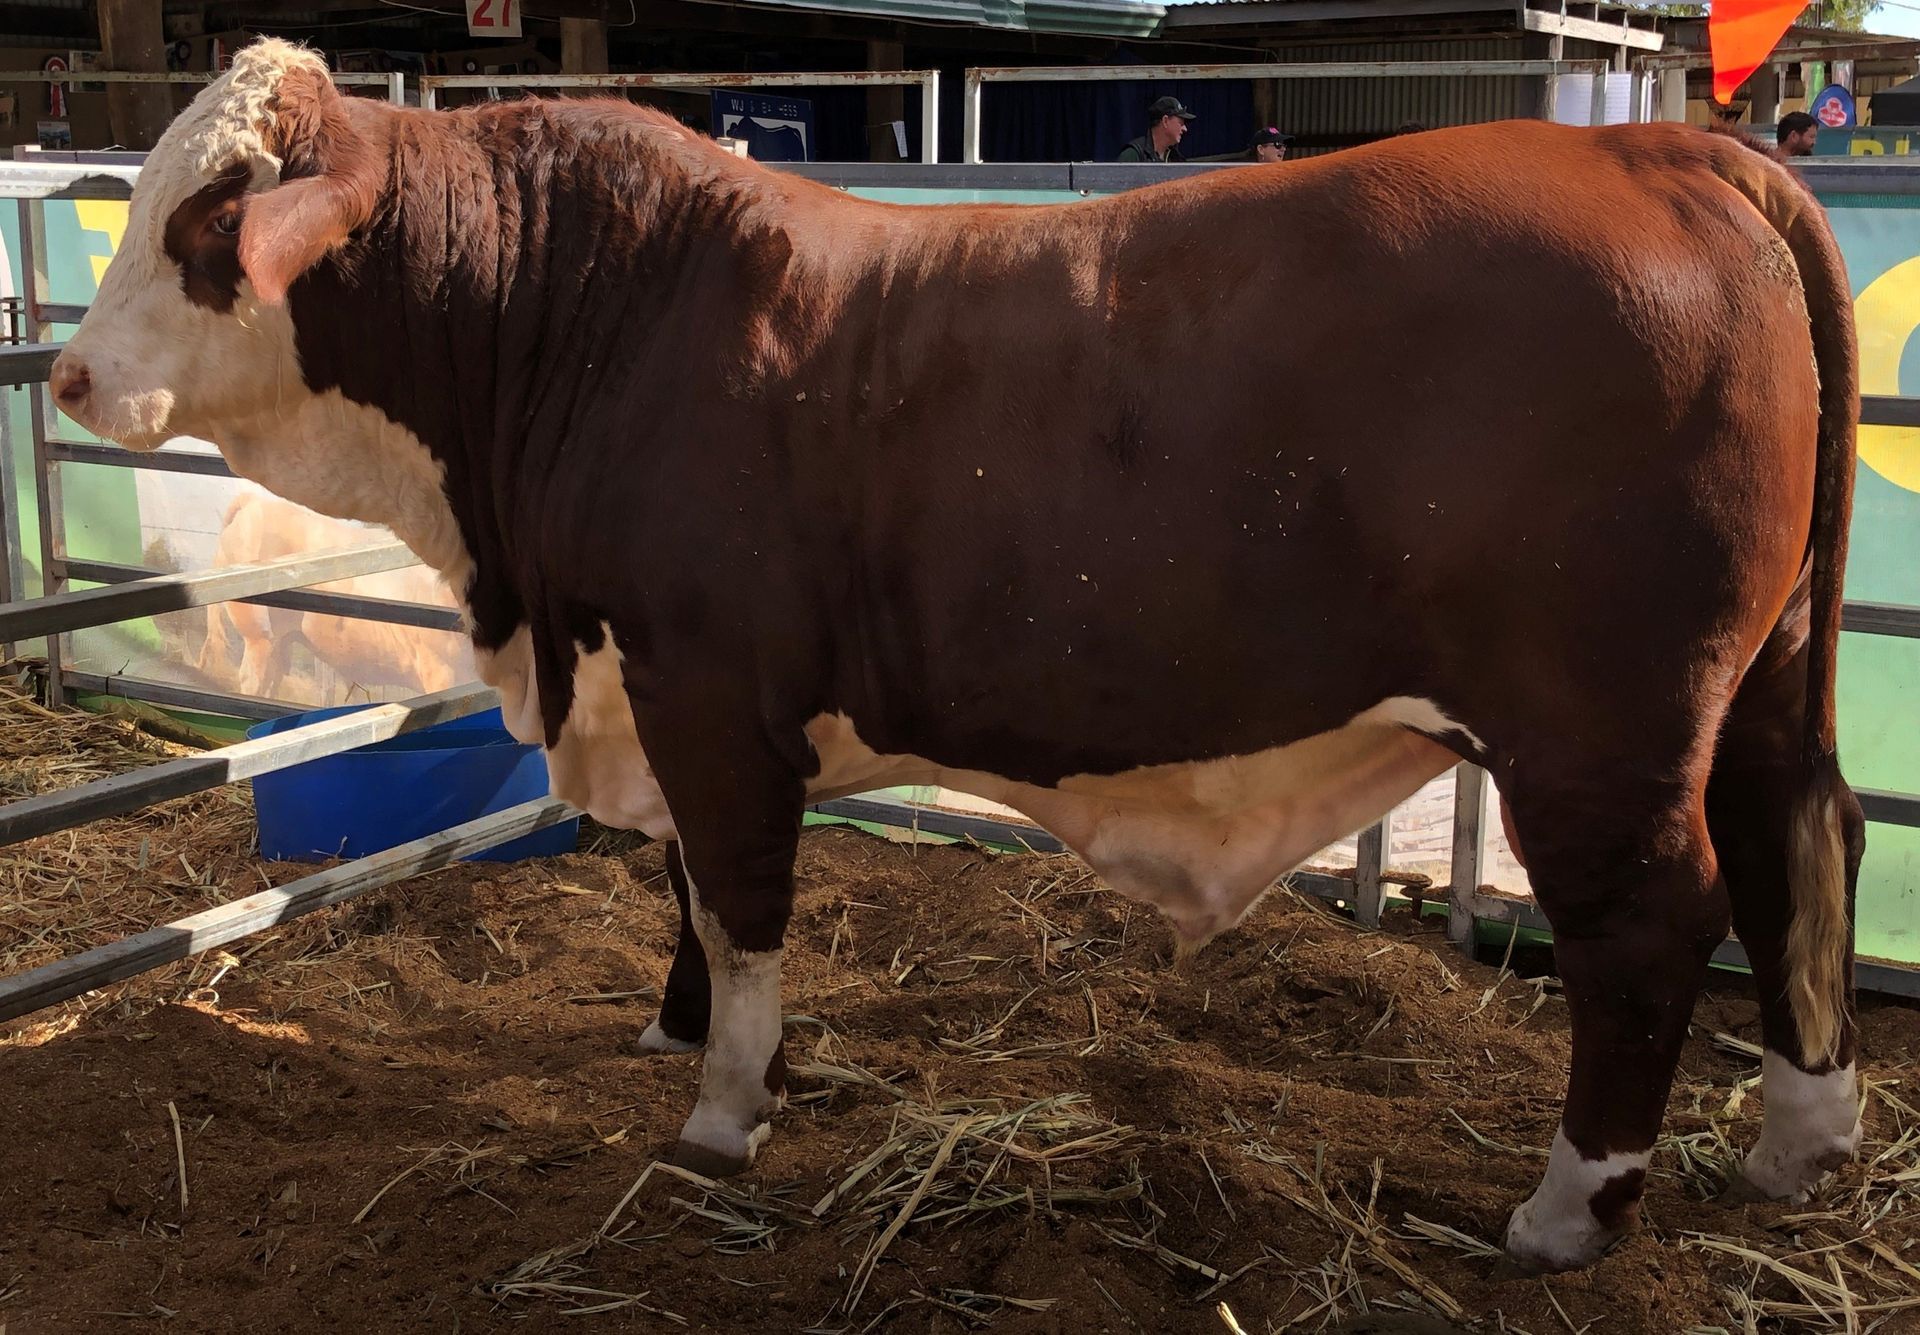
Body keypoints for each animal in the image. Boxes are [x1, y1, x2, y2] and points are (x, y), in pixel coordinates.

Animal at [50, 39, 1865, 1272]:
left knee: (1653, 923)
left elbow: (740, 889)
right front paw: (680, 1030)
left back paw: (1564, 1210)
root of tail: (1672, 158)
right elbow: (686, 882)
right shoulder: (660, 682)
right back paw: (1799, 1148)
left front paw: (724, 1106)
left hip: (1597, 727)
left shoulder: (707, 683)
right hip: (1761, 686)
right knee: (1803, 847)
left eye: (213, 215)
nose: (64, 376)